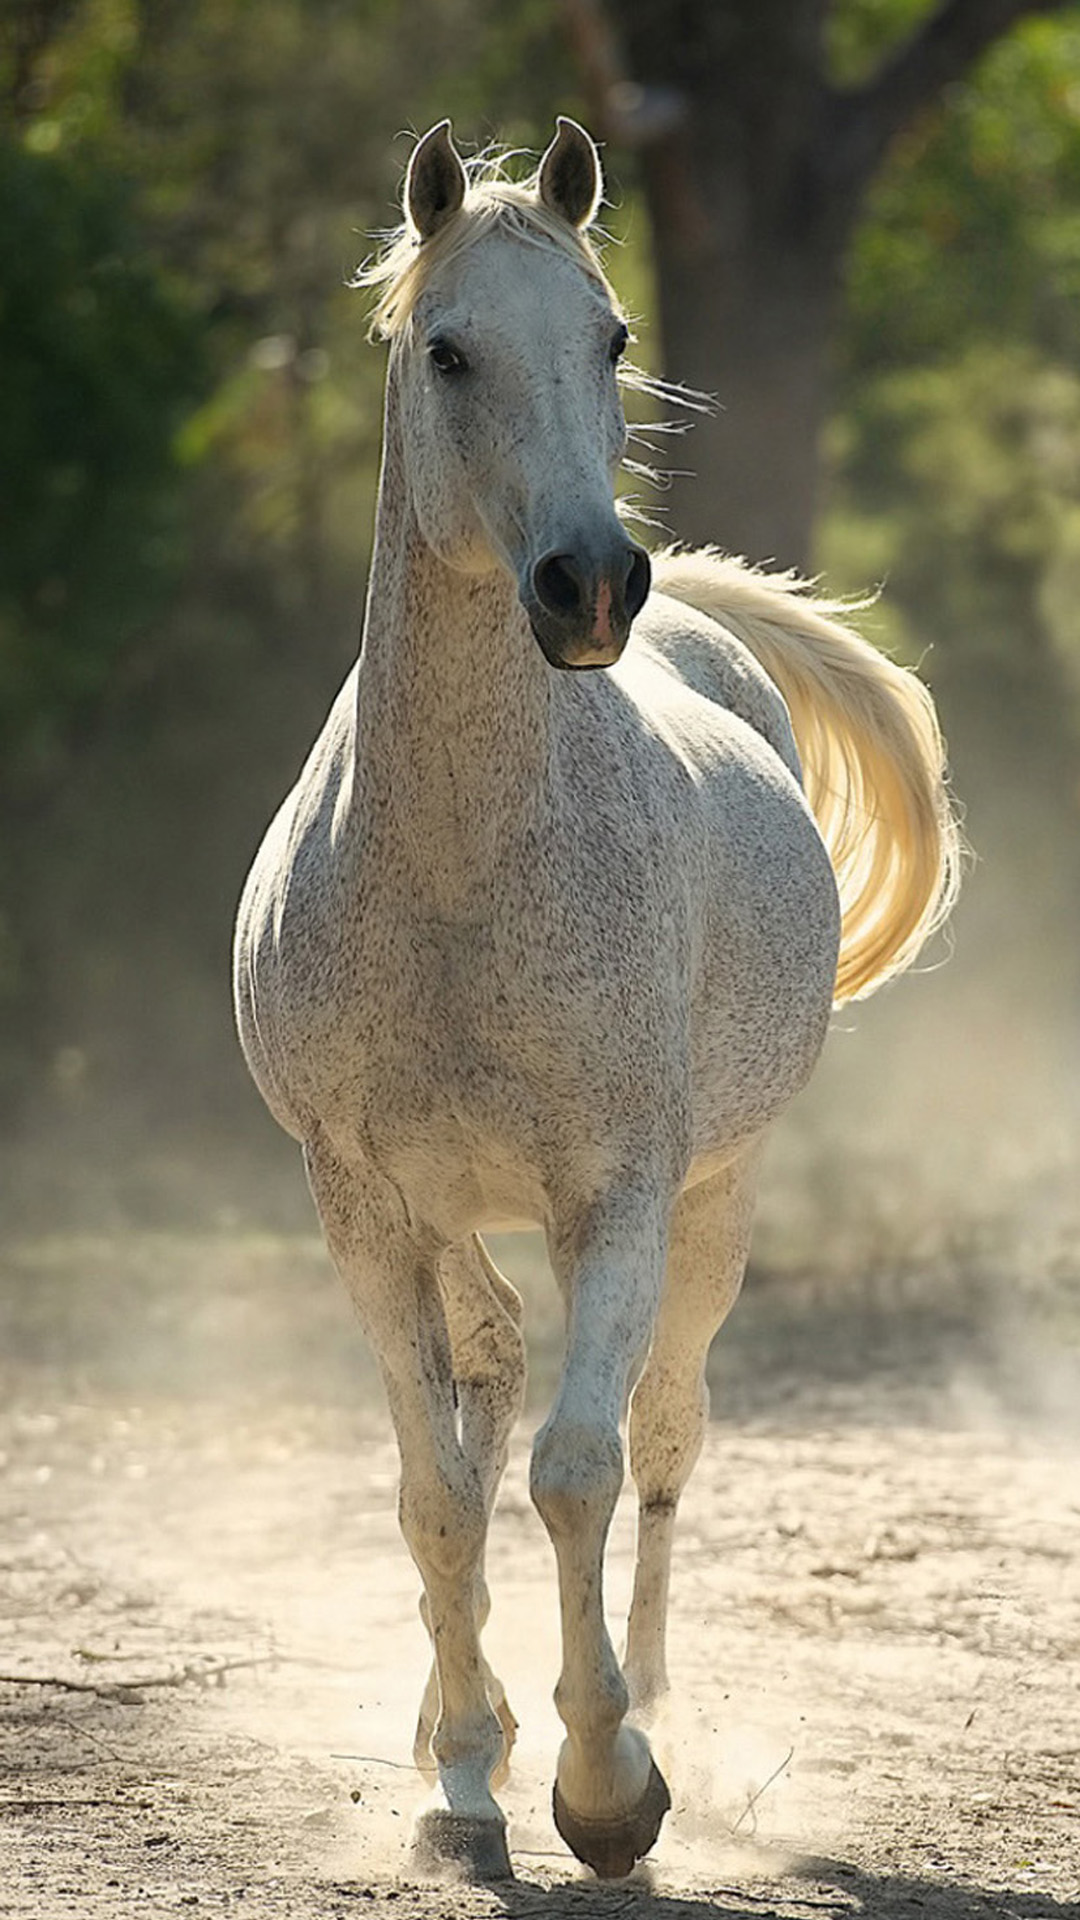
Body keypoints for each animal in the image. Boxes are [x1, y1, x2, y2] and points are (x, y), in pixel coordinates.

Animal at [231, 116, 953, 1873]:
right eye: (448, 349)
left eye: (613, 339)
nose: (588, 587)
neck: (456, 871)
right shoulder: (362, 1204)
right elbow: (437, 1488)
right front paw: (466, 1774)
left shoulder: (615, 1194)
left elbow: (577, 1469)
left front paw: (609, 1785)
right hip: (449, 1216)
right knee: (485, 1384)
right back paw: (463, 1741)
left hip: (719, 1198)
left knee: (666, 1437)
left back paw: (656, 1710)